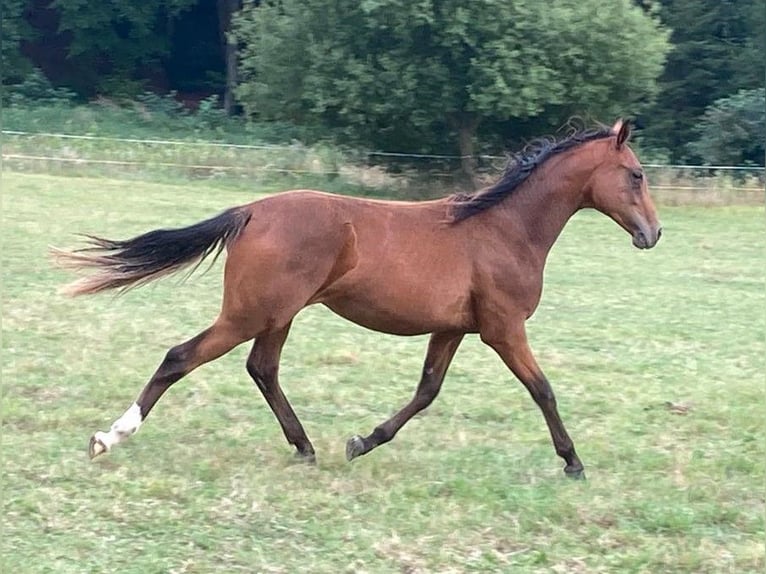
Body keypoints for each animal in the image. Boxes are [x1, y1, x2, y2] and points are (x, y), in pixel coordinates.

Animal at [57, 119, 664, 480]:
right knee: (181, 357)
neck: (504, 229)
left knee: (262, 368)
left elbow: (426, 392)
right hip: (252, 313)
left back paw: (305, 447)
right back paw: (109, 437)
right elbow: (543, 390)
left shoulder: (452, 329)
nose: (653, 234)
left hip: (277, 315)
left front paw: (363, 441)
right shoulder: (503, 328)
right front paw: (573, 462)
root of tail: (250, 210)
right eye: (635, 175)